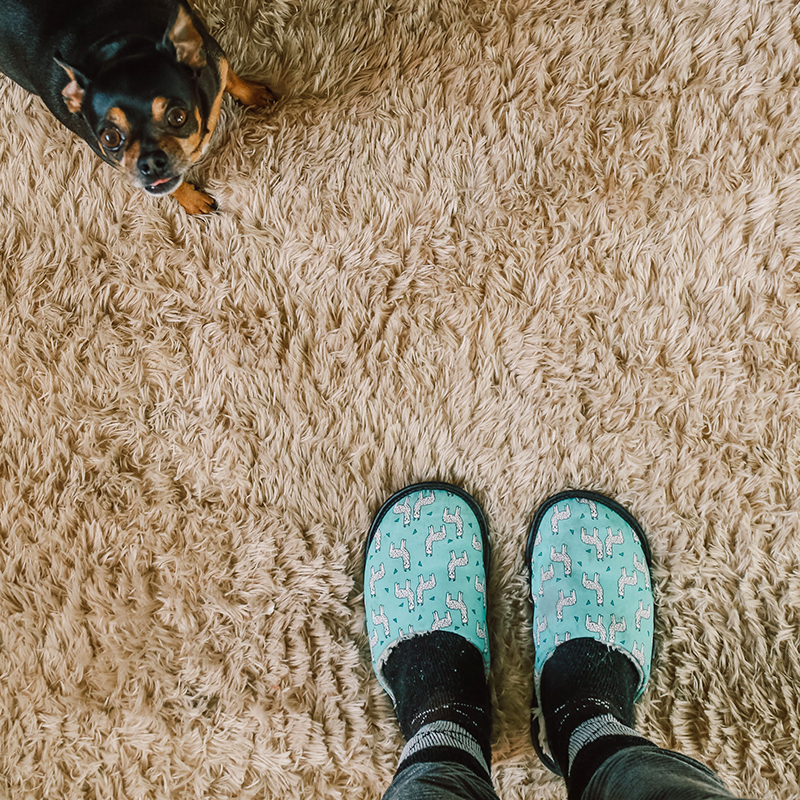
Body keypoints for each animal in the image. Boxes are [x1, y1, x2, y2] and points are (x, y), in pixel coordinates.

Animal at [0, 0, 272, 212]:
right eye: (109, 138)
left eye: (177, 117)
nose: (150, 162)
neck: (121, 48)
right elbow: (172, 188)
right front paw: (192, 200)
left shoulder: (216, 62)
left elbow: (231, 78)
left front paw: (253, 94)